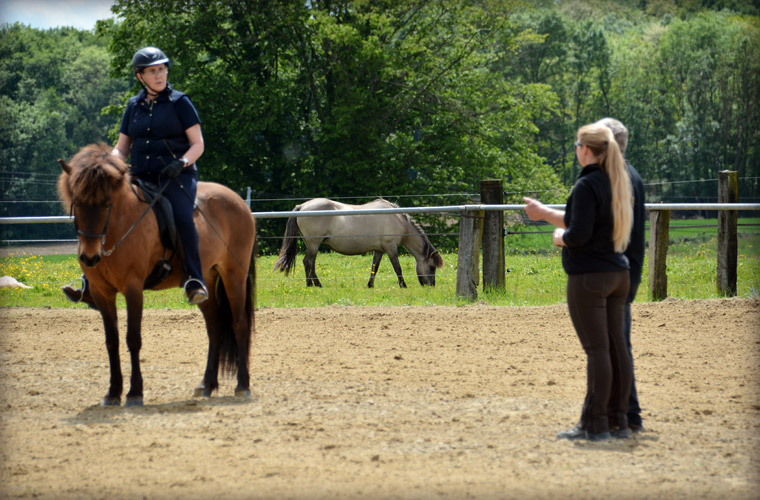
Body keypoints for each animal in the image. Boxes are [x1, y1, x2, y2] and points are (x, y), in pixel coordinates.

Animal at [57, 142, 258, 406]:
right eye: (77, 203)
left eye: (108, 204)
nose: (90, 257)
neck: (119, 227)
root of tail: (239, 202)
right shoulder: (102, 293)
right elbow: (112, 341)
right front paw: (113, 392)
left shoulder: (133, 289)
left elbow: (133, 338)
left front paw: (135, 392)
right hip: (206, 278)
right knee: (214, 327)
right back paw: (206, 385)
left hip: (234, 274)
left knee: (239, 323)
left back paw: (242, 385)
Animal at [274, 197, 442, 288]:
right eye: (432, 267)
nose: (431, 286)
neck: (396, 218)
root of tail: (302, 206)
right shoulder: (390, 248)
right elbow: (397, 268)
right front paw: (403, 286)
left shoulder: (379, 250)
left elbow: (374, 267)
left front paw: (370, 285)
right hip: (314, 244)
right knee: (308, 262)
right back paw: (316, 285)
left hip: (311, 244)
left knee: (309, 263)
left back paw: (311, 285)